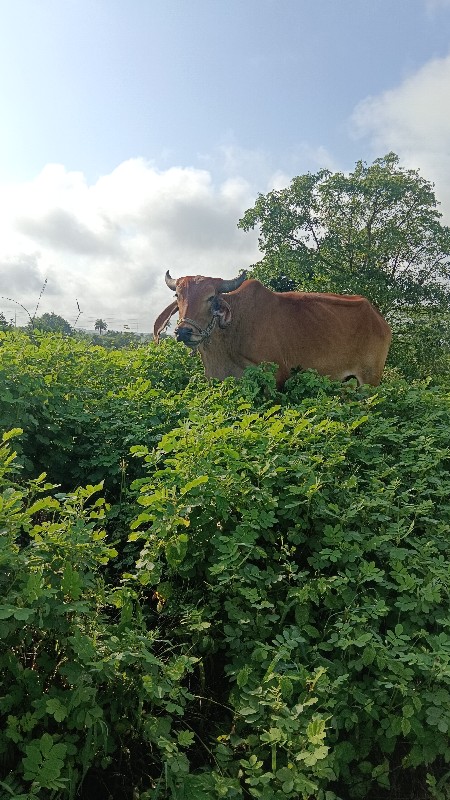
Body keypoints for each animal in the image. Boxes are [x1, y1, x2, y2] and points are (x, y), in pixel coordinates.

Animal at [154, 270, 390, 390]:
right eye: (177, 295)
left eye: (211, 297)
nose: (183, 332)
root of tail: (379, 318)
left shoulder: (277, 378)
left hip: (369, 380)